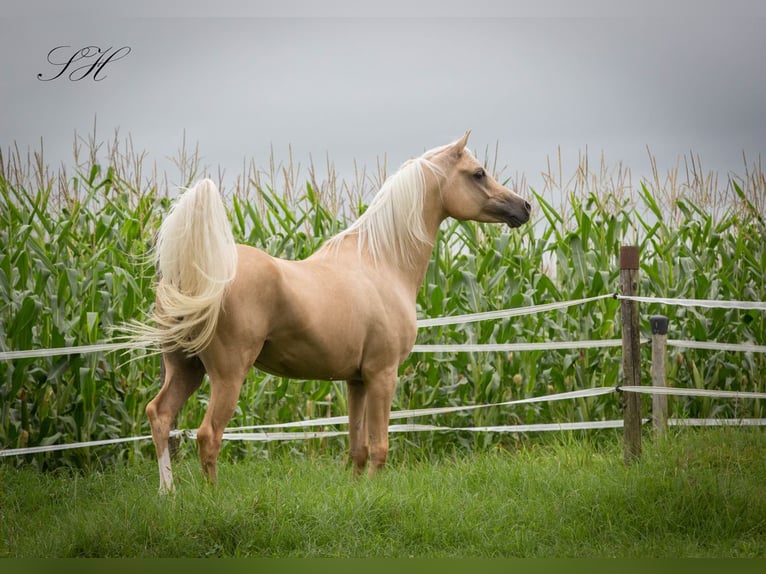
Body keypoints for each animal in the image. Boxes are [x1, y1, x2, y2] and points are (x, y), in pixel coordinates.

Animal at [141, 132, 532, 496]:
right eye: (478, 173)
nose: (525, 207)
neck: (381, 262)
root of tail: (192, 276)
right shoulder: (382, 375)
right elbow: (379, 446)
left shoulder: (356, 380)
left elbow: (358, 448)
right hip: (228, 375)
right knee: (208, 435)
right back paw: (213, 496)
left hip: (186, 368)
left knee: (160, 415)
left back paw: (167, 493)